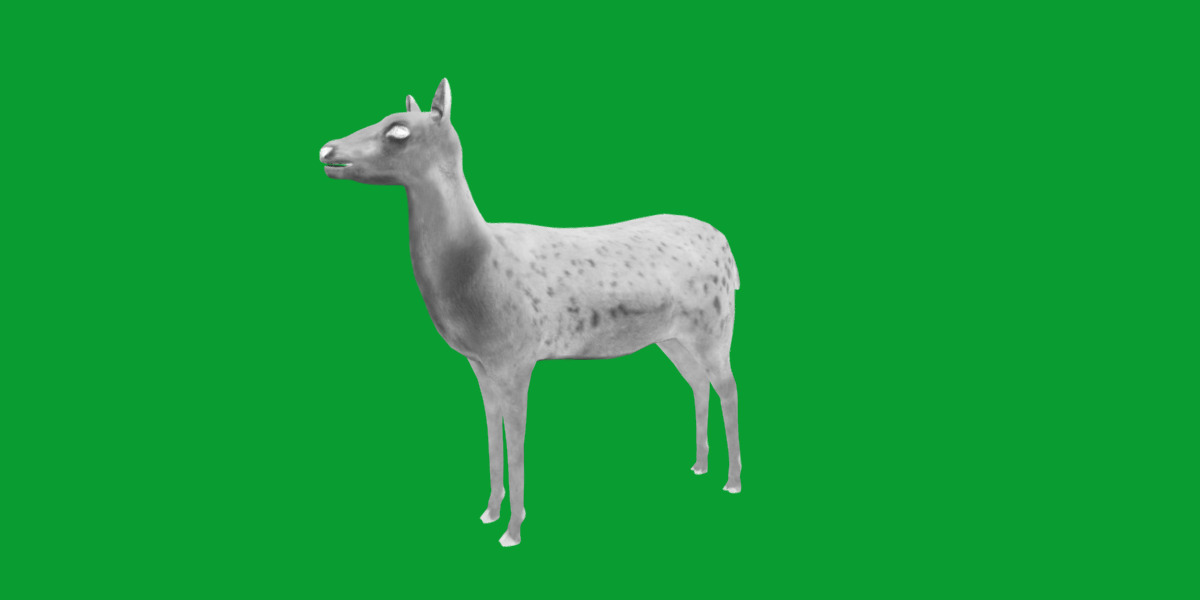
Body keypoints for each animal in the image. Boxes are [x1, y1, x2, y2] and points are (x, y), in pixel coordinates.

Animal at [319, 79, 740, 547]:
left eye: (397, 130)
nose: (326, 150)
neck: (477, 264)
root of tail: (728, 249)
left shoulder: (518, 356)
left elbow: (516, 438)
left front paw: (513, 530)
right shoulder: (481, 363)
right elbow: (492, 431)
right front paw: (488, 512)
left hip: (715, 328)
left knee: (729, 387)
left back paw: (732, 480)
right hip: (672, 337)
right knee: (698, 383)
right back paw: (699, 465)